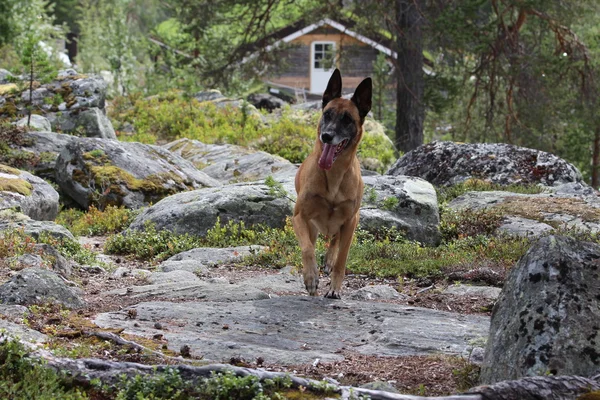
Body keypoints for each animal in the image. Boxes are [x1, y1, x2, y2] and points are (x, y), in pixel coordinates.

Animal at [294, 70, 372, 298]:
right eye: (327, 114)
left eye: (347, 120)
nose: (326, 135)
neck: (335, 176)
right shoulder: (299, 217)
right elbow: (307, 248)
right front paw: (311, 277)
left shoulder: (351, 221)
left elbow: (342, 259)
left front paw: (335, 287)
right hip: (312, 226)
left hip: (350, 220)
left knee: (336, 241)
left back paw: (329, 260)